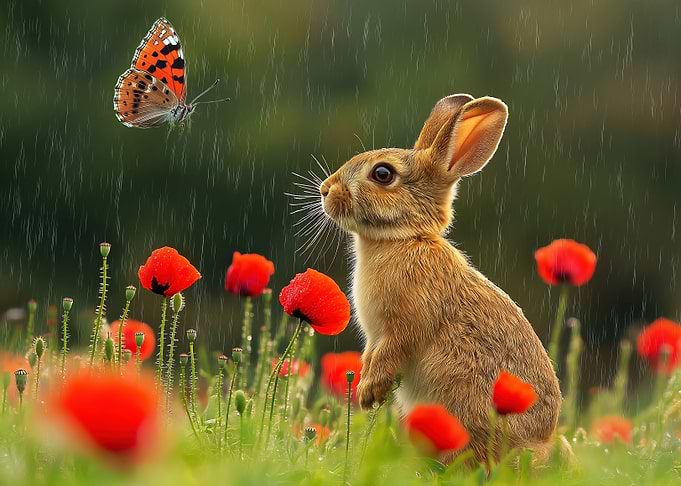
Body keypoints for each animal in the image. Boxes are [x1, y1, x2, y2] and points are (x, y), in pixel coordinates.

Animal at [319, 94, 561, 465]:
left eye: (382, 174)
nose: (325, 190)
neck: (405, 239)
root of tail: (539, 444)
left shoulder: (404, 324)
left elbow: (391, 351)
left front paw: (369, 392)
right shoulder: (374, 338)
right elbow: (371, 354)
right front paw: (364, 390)